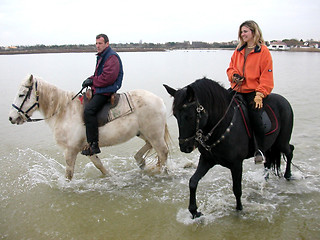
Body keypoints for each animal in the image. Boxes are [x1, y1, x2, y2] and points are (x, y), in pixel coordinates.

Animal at [8, 75, 170, 180]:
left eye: (22, 94)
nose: (11, 118)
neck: (64, 111)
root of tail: (159, 100)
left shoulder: (70, 150)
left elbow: (69, 173)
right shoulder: (88, 148)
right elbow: (99, 165)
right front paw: (110, 176)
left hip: (154, 134)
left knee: (162, 152)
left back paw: (162, 173)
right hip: (144, 133)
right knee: (151, 146)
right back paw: (140, 161)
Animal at [165, 78, 296, 218]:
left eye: (189, 116)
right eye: (175, 115)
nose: (185, 147)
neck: (222, 125)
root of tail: (284, 101)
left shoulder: (236, 164)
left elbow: (237, 189)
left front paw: (239, 209)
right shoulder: (207, 160)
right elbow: (193, 182)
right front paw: (194, 211)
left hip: (281, 142)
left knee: (290, 151)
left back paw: (288, 175)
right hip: (269, 146)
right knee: (269, 161)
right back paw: (265, 179)